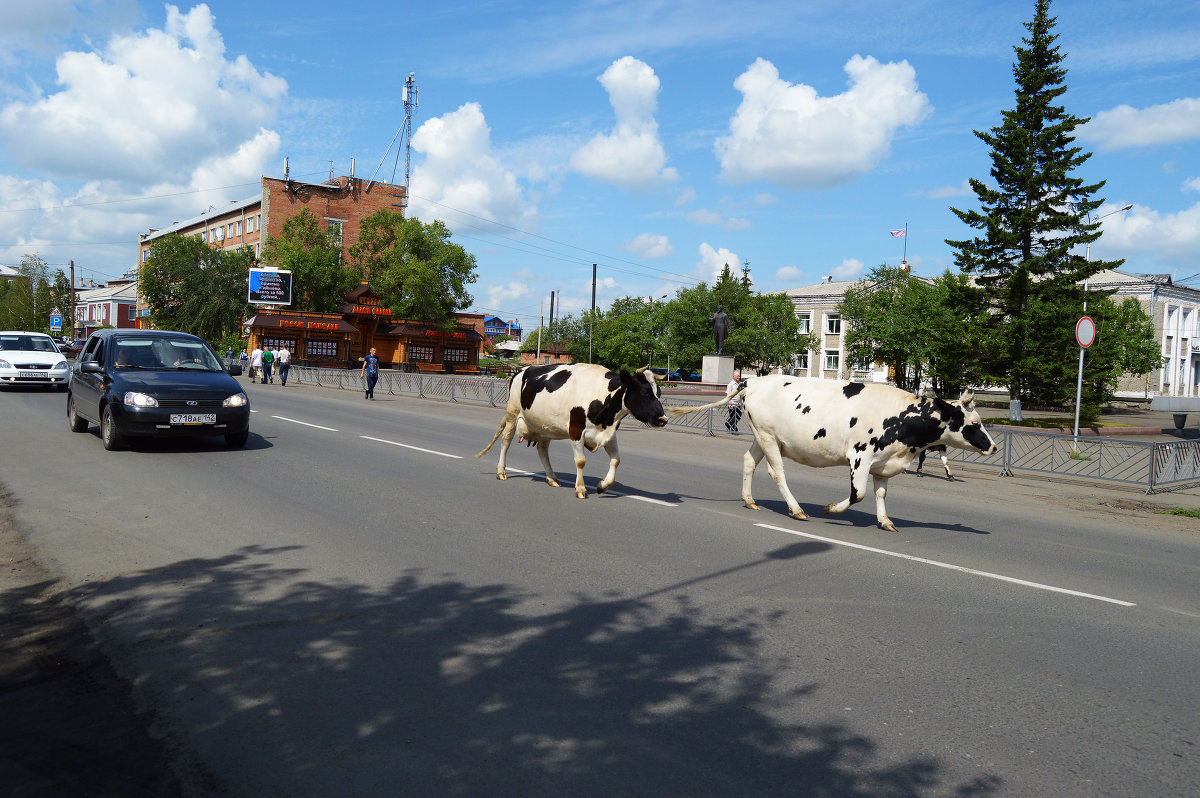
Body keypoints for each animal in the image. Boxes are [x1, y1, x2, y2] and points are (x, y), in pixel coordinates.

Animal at [475, 362, 667, 499]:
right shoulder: (576, 430)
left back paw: (552, 478)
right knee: (505, 442)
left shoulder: (609, 433)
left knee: (542, 449)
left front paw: (602, 485)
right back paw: (501, 472)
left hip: (544, 426)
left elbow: (616, 460)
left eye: (659, 393)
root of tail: (521, 370)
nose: (663, 419)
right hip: (512, 414)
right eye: (645, 393)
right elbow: (580, 461)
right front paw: (581, 488)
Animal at [672, 376, 998, 532]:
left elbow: (881, 494)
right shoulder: (860, 456)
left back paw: (749, 500)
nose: (994, 446)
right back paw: (796, 509)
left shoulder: (884, 463)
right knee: (777, 473)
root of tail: (754, 380)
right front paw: (830, 509)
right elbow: (858, 495)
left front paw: (885, 521)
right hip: (767, 437)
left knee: (749, 462)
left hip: (763, 438)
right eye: (974, 423)